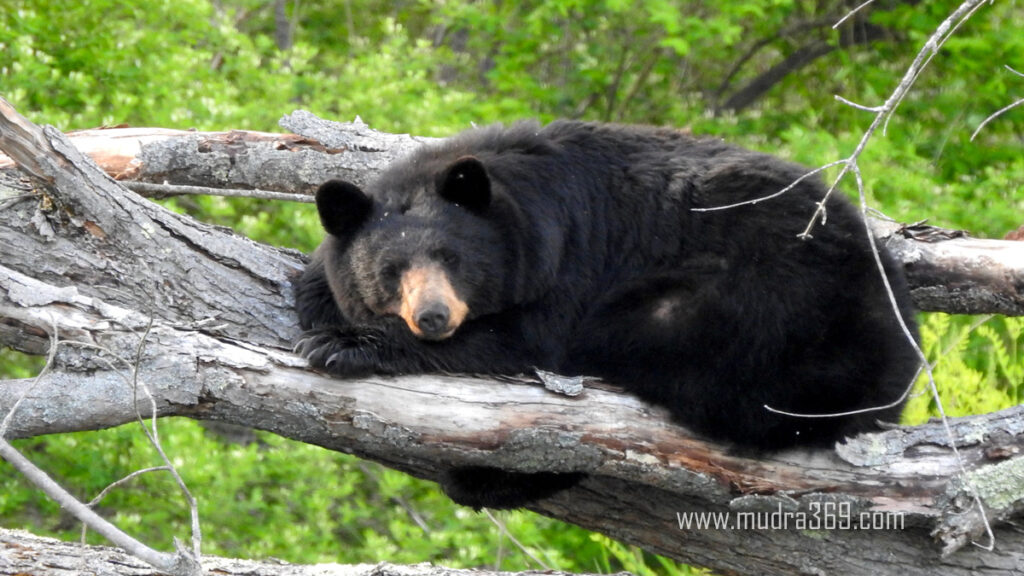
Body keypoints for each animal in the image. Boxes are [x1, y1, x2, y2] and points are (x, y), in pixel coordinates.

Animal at [295, 120, 920, 510]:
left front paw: (344, 344)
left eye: (453, 258)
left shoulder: (567, 262)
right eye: (392, 269)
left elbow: (521, 340)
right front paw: (315, 293)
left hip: (756, 309)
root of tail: (902, 363)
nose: (433, 317)